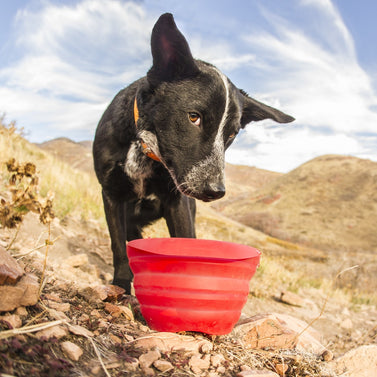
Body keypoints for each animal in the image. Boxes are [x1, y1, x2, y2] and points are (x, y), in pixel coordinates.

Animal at [92, 13, 294, 292]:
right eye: (194, 117)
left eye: (231, 134)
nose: (216, 191)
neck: (145, 149)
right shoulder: (111, 194)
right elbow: (118, 245)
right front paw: (121, 284)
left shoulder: (178, 203)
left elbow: (185, 244)